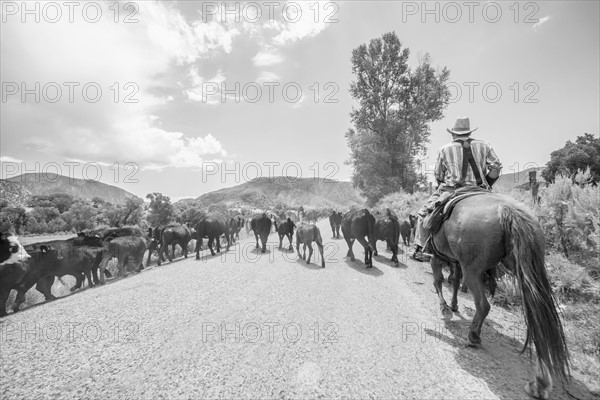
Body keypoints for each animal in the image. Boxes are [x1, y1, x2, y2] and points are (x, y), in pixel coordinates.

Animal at [428, 192, 568, 398]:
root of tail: (507, 210)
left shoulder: (438, 256)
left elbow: (438, 281)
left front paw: (445, 308)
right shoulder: (455, 261)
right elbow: (454, 281)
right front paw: (453, 305)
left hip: (473, 270)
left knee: (483, 305)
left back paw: (473, 336)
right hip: (525, 269)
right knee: (538, 318)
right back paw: (540, 382)